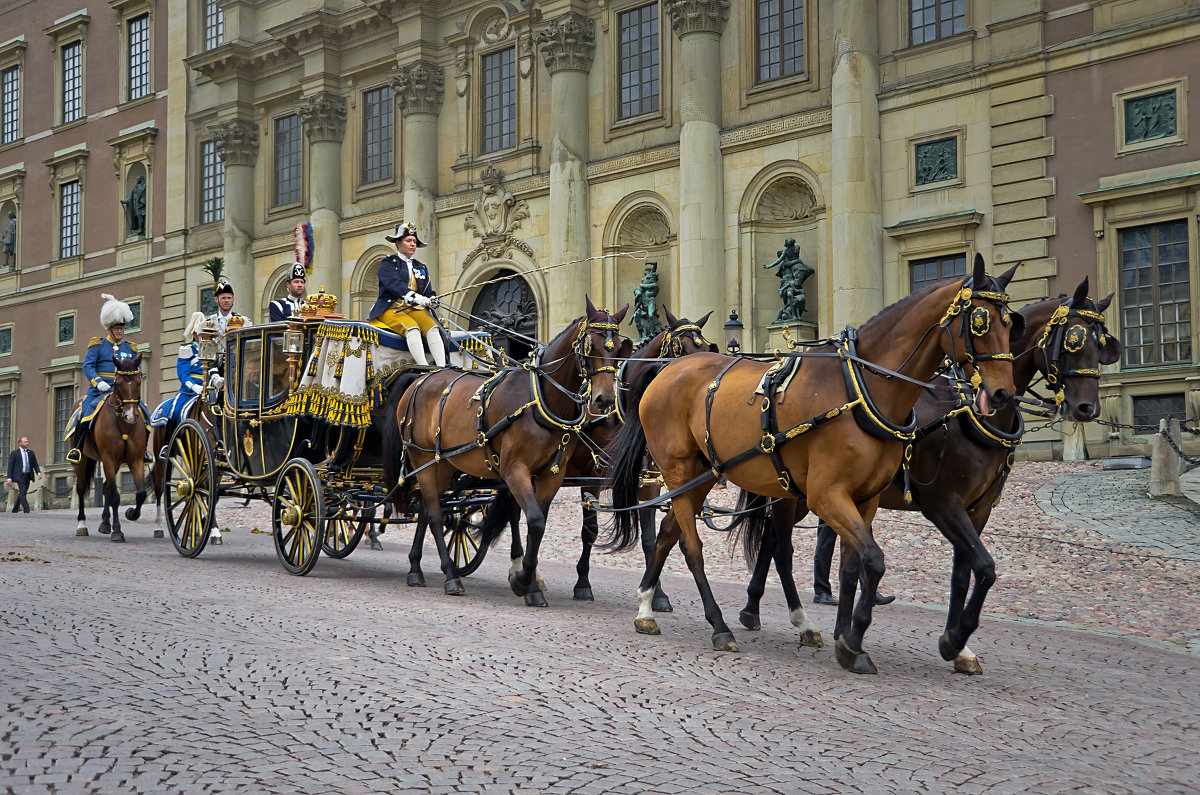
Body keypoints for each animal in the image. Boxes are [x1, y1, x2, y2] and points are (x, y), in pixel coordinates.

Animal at [73, 353, 152, 545]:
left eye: (138, 381)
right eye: (118, 383)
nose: (130, 415)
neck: (123, 424)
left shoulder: (135, 459)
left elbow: (140, 493)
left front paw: (131, 513)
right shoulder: (108, 458)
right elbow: (116, 496)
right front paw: (117, 531)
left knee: (107, 487)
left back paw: (105, 523)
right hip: (83, 460)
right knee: (81, 488)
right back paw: (82, 525)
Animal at [384, 302, 633, 607]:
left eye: (618, 347)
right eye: (591, 346)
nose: (604, 399)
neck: (541, 399)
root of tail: (421, 377)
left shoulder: (552, 474)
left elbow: (538, 524)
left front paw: (531, 583)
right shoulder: (515, 470)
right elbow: (534, 521)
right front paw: (524, 580)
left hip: (443, 464)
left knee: (428, 510)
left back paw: (415, 568)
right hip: (423, 460)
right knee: (433, 514)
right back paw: (451, 577)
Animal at [609, 255, 1012, 672]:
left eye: (1010, 321)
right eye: (979, 321)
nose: (1002, 392)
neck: (858, 388)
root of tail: (666, 372)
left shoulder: (866, 499)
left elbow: (856, 565)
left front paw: (850, 639)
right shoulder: (833, 496)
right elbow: (876, 560)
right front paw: (858, 639)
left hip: (702, 476)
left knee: (670, 535)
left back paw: (647, 607)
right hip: (679, 473)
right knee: (692, 547)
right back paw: (718, 625)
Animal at [734, 278, 1118, 672]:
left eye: (1101, 343)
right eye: (1073, 339)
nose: (1087, 407)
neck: (967, 414)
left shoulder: (977, 509)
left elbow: (963, 572)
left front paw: (956, 645)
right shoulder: (943, 503)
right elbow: (984, 566)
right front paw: (954, 639)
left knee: (772, 544)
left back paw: (753, 610)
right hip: (790, 495)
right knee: (781, 548)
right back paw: (797, 620)